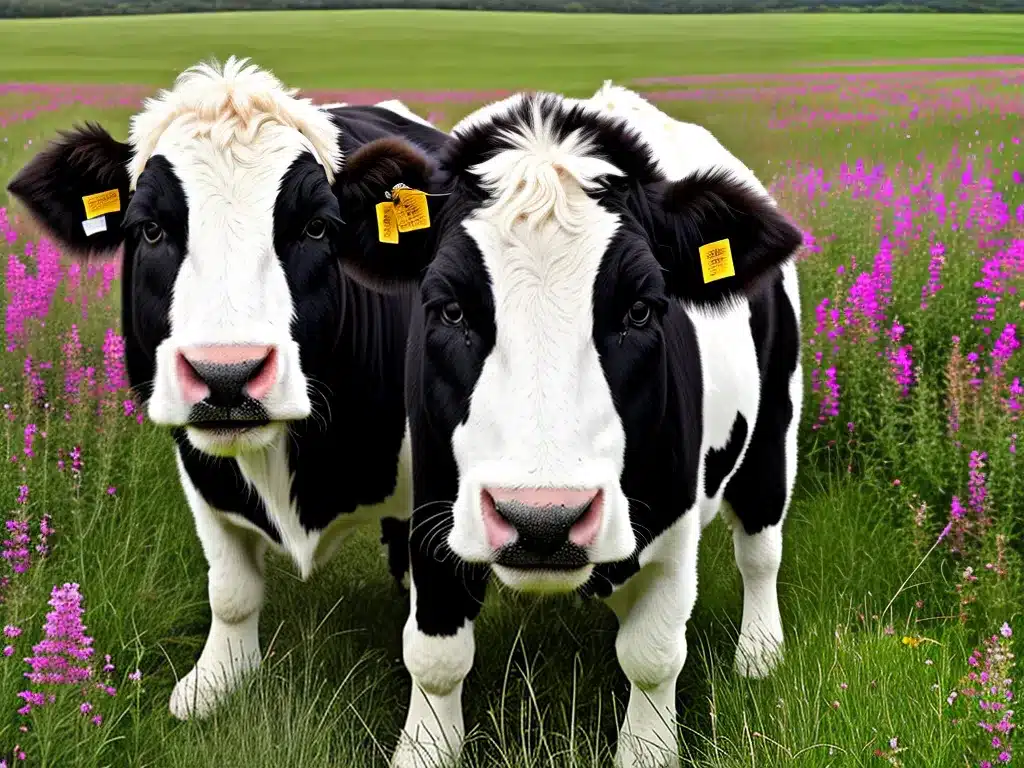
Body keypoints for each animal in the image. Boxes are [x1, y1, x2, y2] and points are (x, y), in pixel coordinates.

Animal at [5, 56, 449, 720]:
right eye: (151, 229)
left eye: (316, 227)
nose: (227, 374)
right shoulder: (198, 462)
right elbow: (231, 588)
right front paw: (216, 682)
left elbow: (435, 648)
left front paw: (428, 737)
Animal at [329, 82, 805, 768]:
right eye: (449, 308)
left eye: (641, 309)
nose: (542, 521)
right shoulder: (434, 501)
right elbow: (435, 655)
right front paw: (424, 750)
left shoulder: (676, 520)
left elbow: (653, 654)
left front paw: (647, 750)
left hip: (775, 426)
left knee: (761, 547)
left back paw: (760, 655)